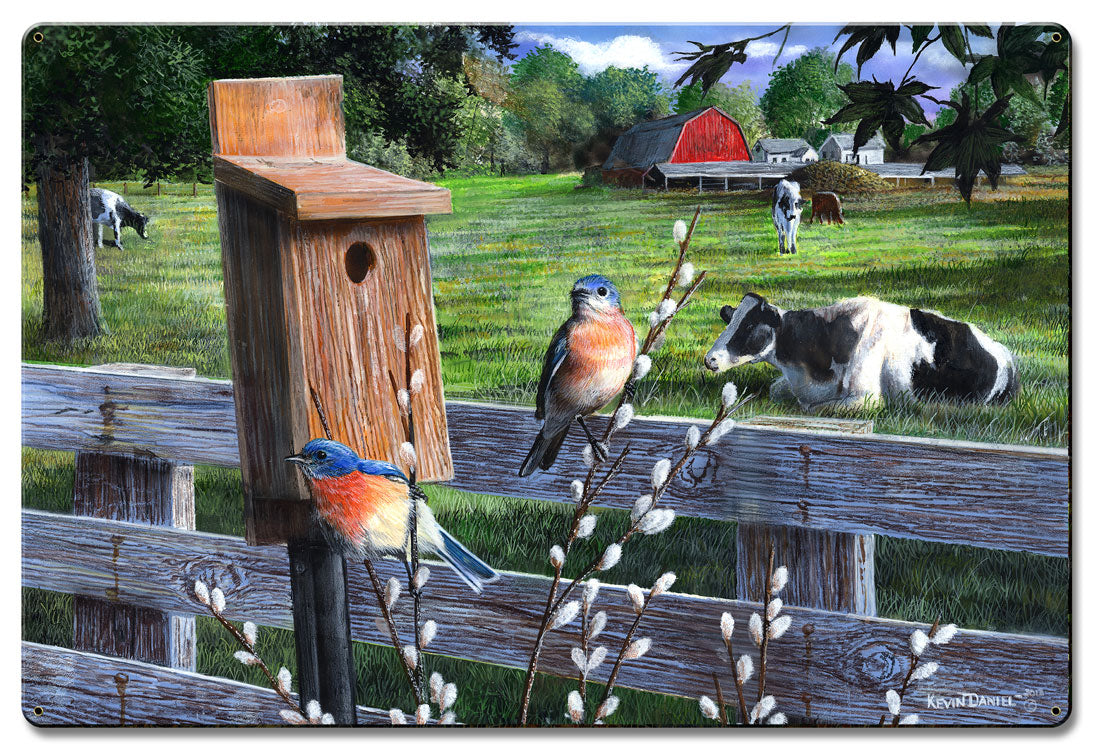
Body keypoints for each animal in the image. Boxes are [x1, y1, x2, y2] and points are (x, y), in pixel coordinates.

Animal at [703, 293, 1019, 413]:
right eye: (730, 321)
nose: (710, 359)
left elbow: (814, 408)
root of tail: (1005, 353)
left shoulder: (866, 398)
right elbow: (775, 391)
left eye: (750, 326)